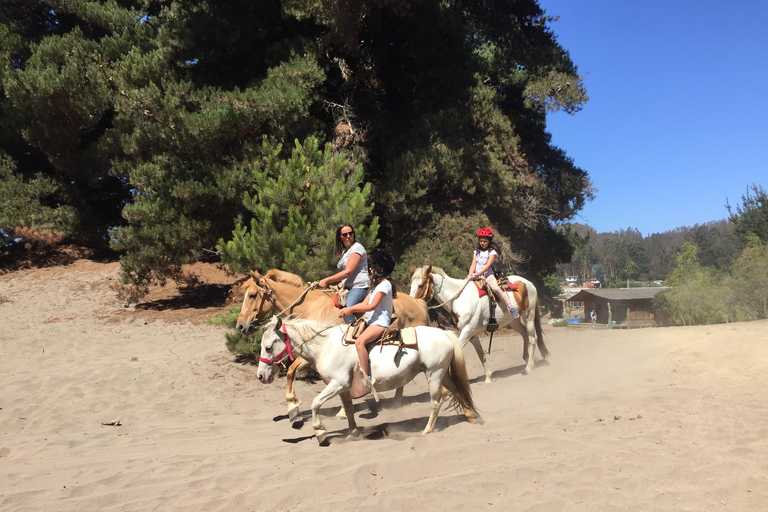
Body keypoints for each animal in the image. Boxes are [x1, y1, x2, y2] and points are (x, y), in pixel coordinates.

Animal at [237, 268, 428, 420]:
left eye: (252, 295)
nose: (240, 326)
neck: (310, 308)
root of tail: (419, 303)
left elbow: (293, 371)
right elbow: (291, 372)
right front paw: (293, 410)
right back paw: (396, 403)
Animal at [260, 316, 486, 444]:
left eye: (269, 347)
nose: (261, 376)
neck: (324, 347)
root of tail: (446, 334)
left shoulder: (338, 383)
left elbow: (315, 403)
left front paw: (321, 433)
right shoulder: (344, 389)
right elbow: (349, 410)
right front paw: (352, 432)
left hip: (434, 374)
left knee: (436, 402)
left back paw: (427, 430)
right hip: (443, 374)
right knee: (458, 391)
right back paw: (472, 416)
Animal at [408, 266, 544, 382]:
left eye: (421, 285)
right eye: (411, 285)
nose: (412, 304)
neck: (459, 298)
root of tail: (529, 283)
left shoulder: (467, 331)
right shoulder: (472, 334)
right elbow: (480, 354)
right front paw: (488, 377)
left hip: (529, 316)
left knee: (533, 339)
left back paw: (529, 367)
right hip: (514, 321)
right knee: (525, 335)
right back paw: (527, 359)